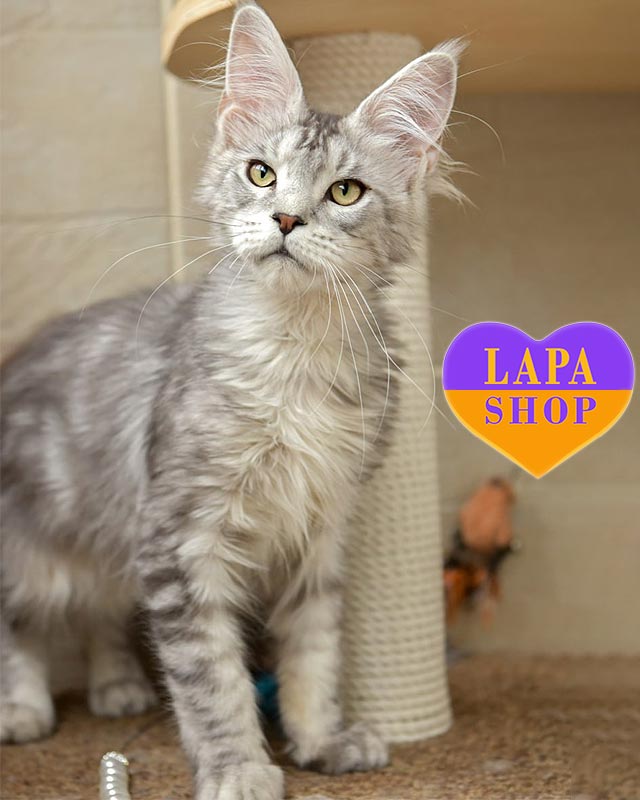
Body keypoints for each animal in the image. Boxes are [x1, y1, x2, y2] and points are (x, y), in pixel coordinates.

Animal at [0, 2, 460, 798]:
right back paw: (24, 708)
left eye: (345, 192)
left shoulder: (321, 530)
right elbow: (211, 676)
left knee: (99, 616)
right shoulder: (181, 536)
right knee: (19, 625)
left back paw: (116, 686)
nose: (286, 220)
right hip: (31, 550)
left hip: (108, 545)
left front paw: (321, 738)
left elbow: (313, 651)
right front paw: (238, 766)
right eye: (261, 173)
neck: (294, 352)